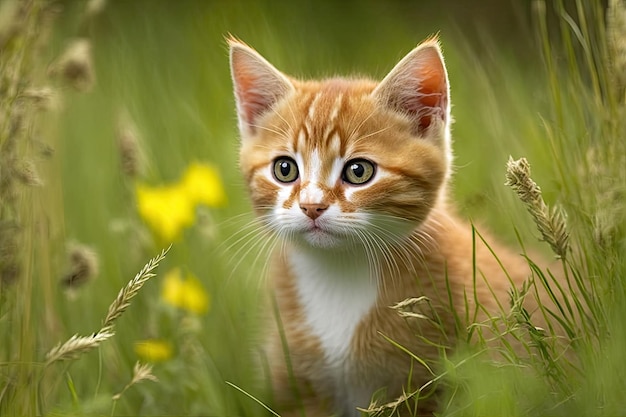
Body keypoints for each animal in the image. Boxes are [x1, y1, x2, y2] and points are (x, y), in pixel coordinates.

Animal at [227, 36, 564, 416]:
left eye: (359, 171)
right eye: (284, 169)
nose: (312, 206)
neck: (339, 274)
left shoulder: (425, 382)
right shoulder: (300, 386)